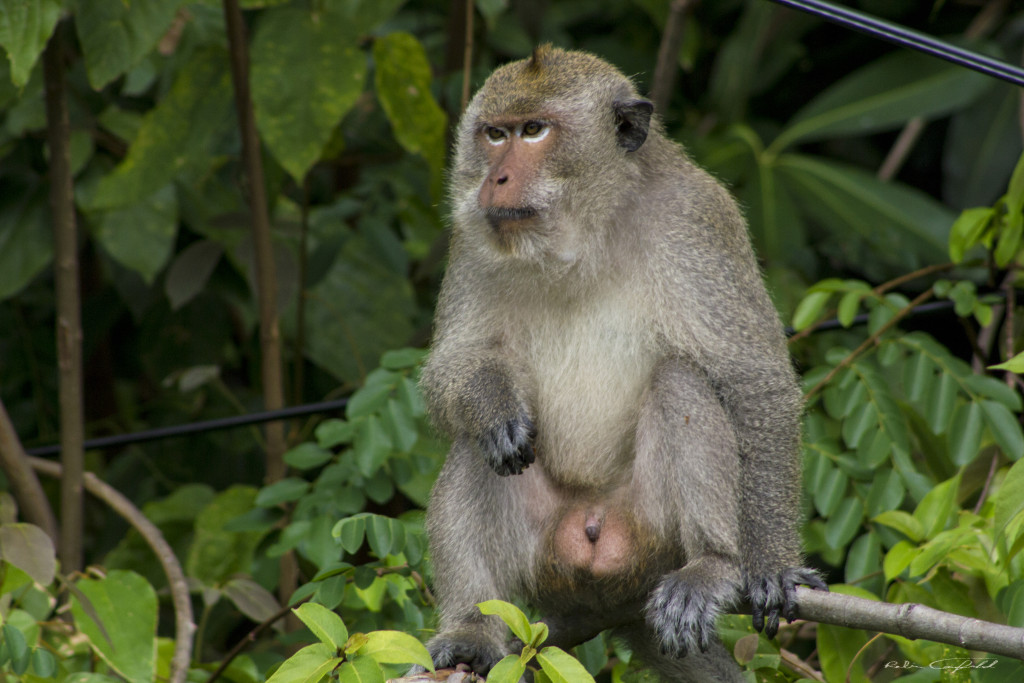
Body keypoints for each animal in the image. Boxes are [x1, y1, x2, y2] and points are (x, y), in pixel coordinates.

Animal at [415, 45, 823, 679]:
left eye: (535, 131)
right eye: (494, 134)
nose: (495, 178)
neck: (585, 235)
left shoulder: (697, 220)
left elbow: (753, 381)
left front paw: (770, 565)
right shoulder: (472, 238)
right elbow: (451, 370)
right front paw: (493, 403)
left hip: (650, 537)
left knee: (681, 383)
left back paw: (713, 565)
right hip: (545, 556)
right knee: (474, 447)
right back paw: (472, 628)